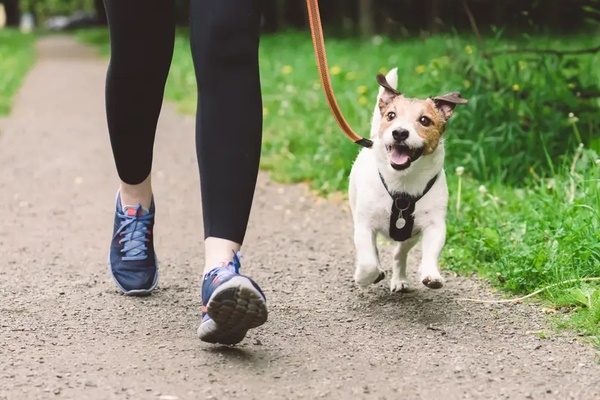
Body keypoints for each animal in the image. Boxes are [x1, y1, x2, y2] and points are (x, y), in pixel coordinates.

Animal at [346, 68, 468, 294]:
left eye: (425, 120)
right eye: (391, 116)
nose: (400, 132)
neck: (402, 184)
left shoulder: (434, 225)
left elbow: (431, 252)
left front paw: (431, 274)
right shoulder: (364, 224)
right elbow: (368, 261)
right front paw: (364, 277)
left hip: (409, 236)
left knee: (399, 254)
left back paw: (400, 279)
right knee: (374, 252)